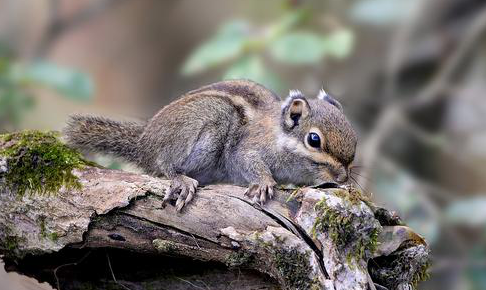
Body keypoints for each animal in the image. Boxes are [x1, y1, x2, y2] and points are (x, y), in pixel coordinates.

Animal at [63, 79, 356, 211]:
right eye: (314, 140)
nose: (343, 177)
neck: (277, 135)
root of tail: (143, 143)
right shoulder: (246, 148)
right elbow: (247, 161)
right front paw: (263, 183)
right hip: (204, 124)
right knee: (163, 164)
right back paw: (180, 179)